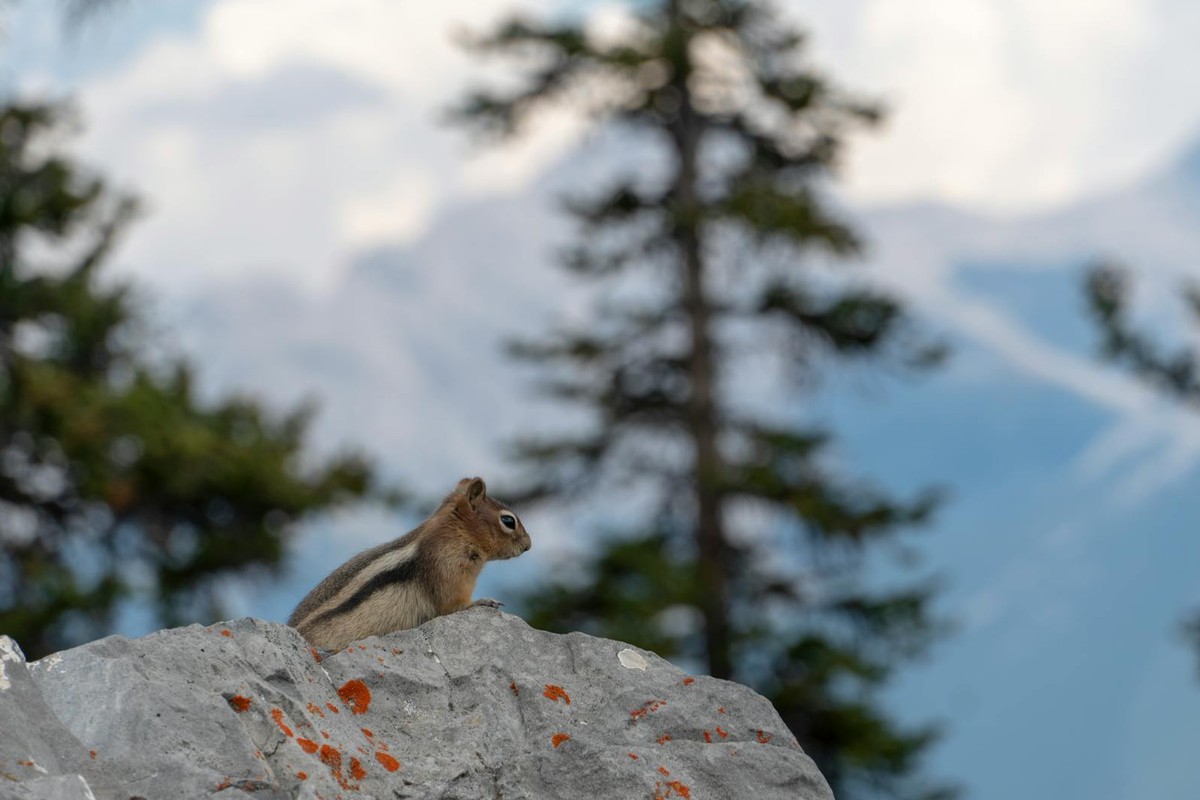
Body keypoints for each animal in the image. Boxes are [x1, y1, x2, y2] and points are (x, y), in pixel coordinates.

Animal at [287, 476, 531, 651]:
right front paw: (483, 601)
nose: (528, 545)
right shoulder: (448, 571)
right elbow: (453, 605)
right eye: (508, 520)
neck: (455, 533)